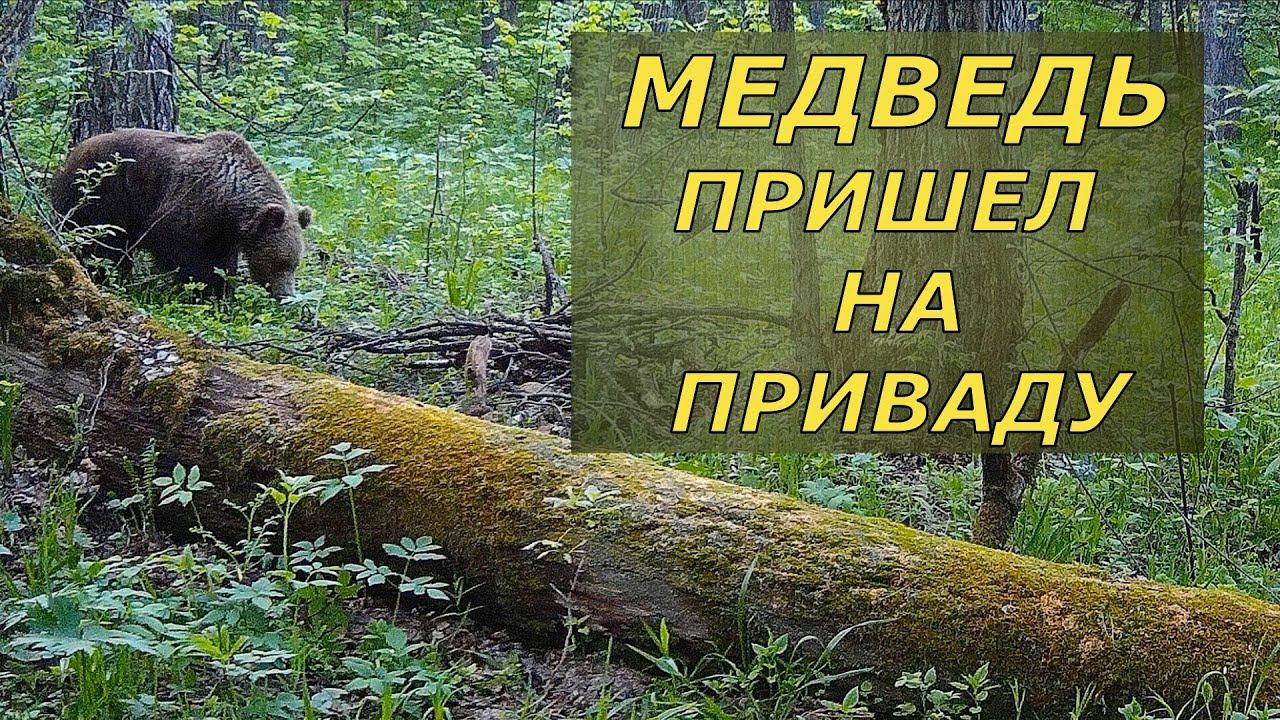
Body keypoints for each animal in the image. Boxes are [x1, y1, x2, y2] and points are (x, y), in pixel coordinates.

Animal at [49, 128, 310, 298]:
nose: (286, 295)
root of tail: (68, 158)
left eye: (295, 263)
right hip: (101, 197)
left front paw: (223, 292)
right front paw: (204, 288)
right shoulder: (189, 199)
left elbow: (223, 261)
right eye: (281, 262)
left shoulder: (222, 229)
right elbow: (173, 241)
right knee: (101, 247)